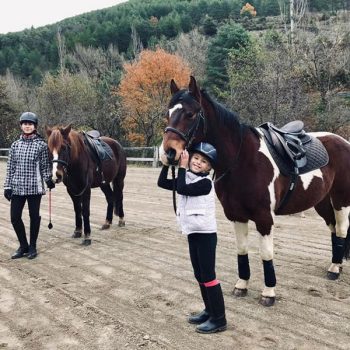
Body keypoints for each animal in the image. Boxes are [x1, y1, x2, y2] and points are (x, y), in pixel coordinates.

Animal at [163, 76, 350, 306]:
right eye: (168, 113)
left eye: (190, 114)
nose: (168, 153)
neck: (243, 159)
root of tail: (342, 141)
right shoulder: (237, 216)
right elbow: (242, 250)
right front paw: (241, 285)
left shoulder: (264, 219)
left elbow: (266, 254)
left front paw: (268, 293)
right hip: (321, 202)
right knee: (334, 229)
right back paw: (336, 264)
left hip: (341, 199)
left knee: (342, 228)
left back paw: (334, 270)